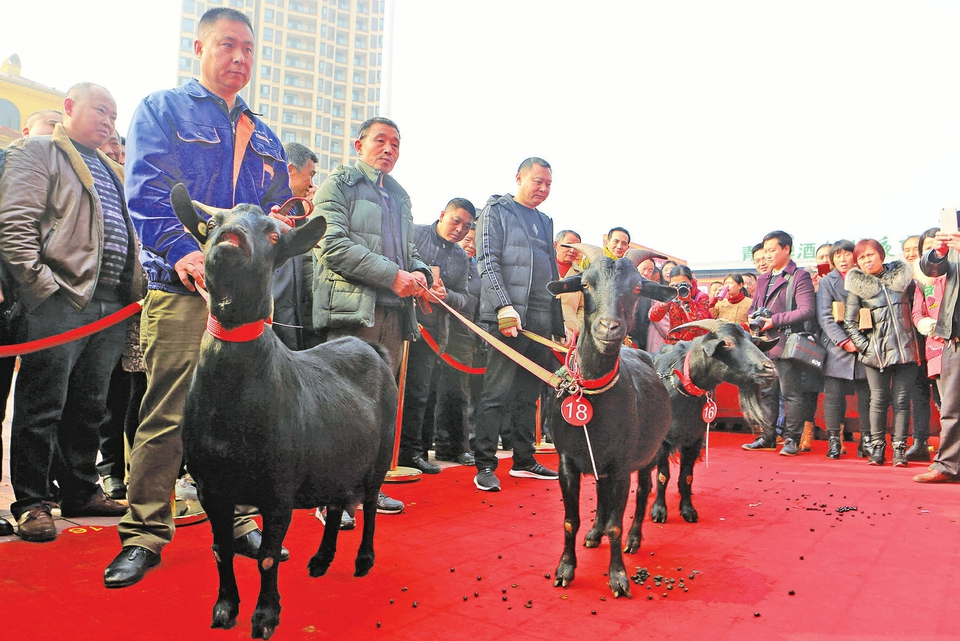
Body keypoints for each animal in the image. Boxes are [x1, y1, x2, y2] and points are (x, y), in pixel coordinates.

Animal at [170, 182, 398, 636]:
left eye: (274, 235)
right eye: (210, 224)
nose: (232, 238)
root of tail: (373, 348)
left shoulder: (279, 486)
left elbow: (268, 557)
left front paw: (264, 617)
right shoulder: (210, 486)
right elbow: (221, 549)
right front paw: (225, 610)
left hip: (379, 454)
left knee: (367, 505)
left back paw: (363, 560)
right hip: (336, 456)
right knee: (335, 505)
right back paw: (321, 560)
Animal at [544, 248, 672, 596]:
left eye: (638, 287)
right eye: (585, 284)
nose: (609, 327)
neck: (590, 394)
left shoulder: (621, 465)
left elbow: (616, 524)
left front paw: (618, 577)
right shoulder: (567, 461)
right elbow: (569, 520)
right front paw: (564, 569)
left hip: (650, 452)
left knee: (644, 493)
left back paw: (634, 538)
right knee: (601, 494)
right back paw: (593, 533)